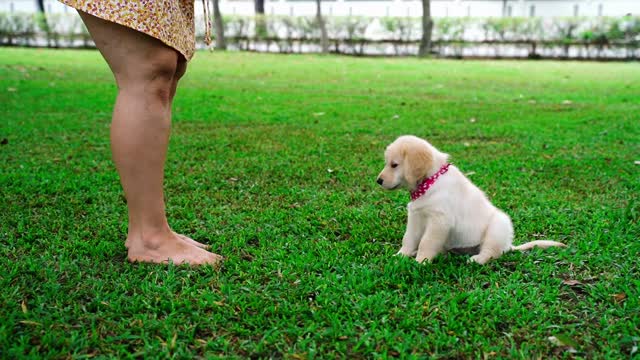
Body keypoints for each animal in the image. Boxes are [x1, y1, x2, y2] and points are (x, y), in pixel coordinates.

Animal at [376, 135, 564, 264]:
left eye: (394, 165)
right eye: (387, 163)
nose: (378, 181)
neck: (430, 181)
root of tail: (508, 245)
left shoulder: (439, 221)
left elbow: (426, 242)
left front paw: (421, 262)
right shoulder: (415, 217)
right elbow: (409, 238)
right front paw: (401, 256)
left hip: (497, 227)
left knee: (492, 253)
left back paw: (477, 259)